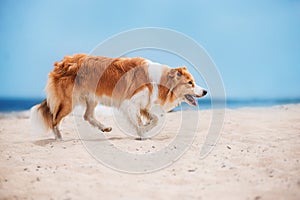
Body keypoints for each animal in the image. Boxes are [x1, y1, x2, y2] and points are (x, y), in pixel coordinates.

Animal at [30, 54, 207, 140]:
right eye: (190, 83)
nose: (205, 91)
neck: (159, 81)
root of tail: (62, 63)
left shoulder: (144, 104)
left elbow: (155, 119)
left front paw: (146, 128)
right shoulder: (130, 103)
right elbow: (140, 122)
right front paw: (143, 133)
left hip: (91, 98)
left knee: (87, 116)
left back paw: (104, 128)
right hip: (68, 101)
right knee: (54, 119)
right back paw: (59, 138)